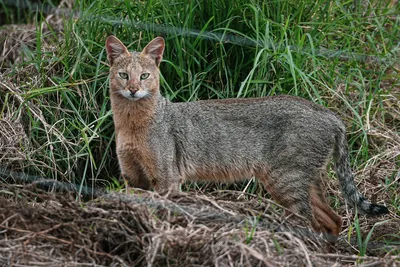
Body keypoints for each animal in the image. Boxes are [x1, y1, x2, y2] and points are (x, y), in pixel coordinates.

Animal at [105, 35, 388, 243]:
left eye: (144, 76)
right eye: (123, 75)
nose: (133, 89)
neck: (131, 124)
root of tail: (329, 113)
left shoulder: (166, 179)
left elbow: (163, 211)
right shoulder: (133, 178)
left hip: (286, 181)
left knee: (312, 221)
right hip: (303, 181)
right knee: (333, 219)